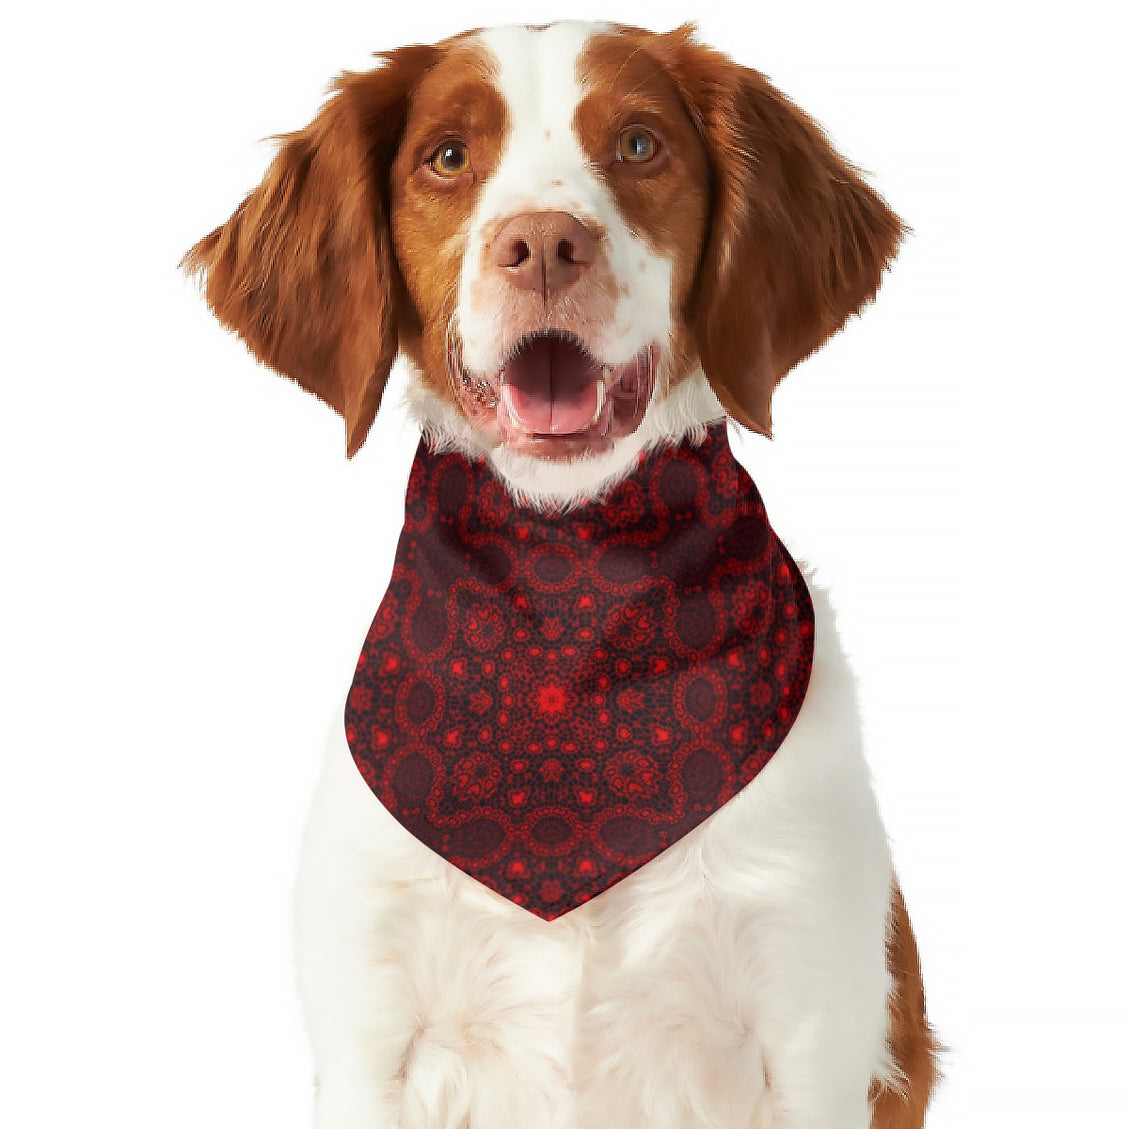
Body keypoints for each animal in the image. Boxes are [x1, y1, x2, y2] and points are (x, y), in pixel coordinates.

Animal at [185, 17, 939, 1129]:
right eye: (447, 157)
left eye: (638, 145)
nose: (542, 244)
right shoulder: (371, 1027)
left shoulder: (812, 1019)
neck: (568, 576)